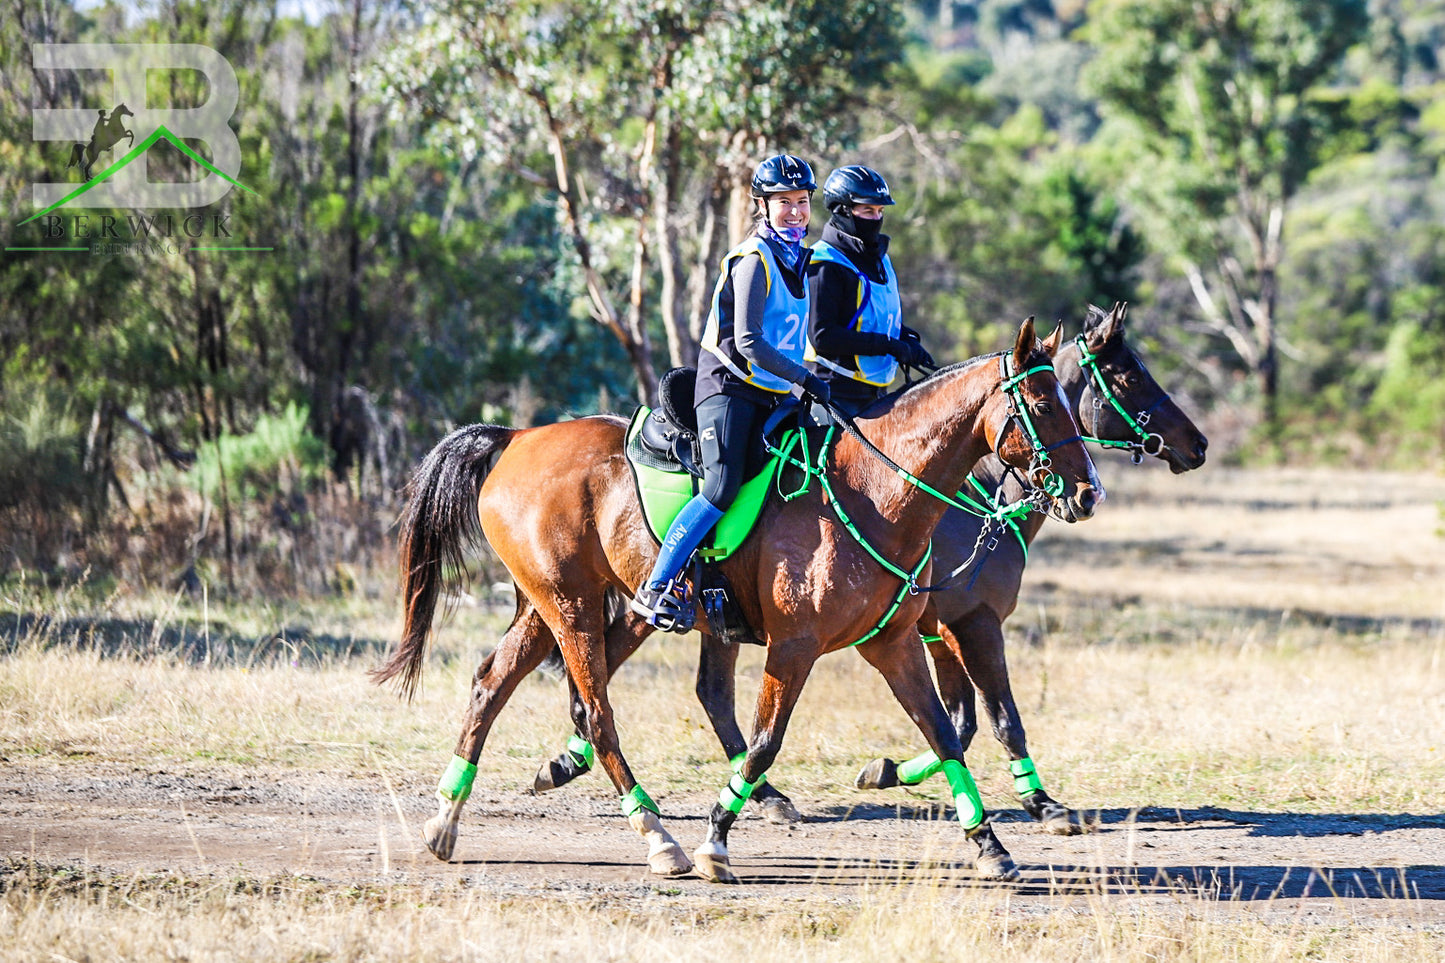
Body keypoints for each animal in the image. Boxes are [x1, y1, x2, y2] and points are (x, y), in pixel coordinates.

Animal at [378, 318, 1098, 879]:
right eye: (1042, 404)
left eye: (1072, 400)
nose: (1090, 492)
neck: (874, 487)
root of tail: (514, 438)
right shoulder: (796, 647)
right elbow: (763, 742)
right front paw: (715, 840)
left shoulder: (891, 643)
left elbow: (945, 732)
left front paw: (987, 844)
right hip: (572, 610)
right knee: (597, 713)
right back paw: (656, 835)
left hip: (545, 604)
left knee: (492, 683)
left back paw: (445, 820)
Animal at [531, 302, 1208, 832]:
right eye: (1125, 376)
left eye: (1072, 400)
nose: (1196, 444)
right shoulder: (970, 623)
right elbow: (997, 718)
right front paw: (1039, 803)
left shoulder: (923, 631)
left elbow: (957, 722)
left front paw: (894, 771)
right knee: (614, 674)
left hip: (676, 610)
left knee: (684, 688)